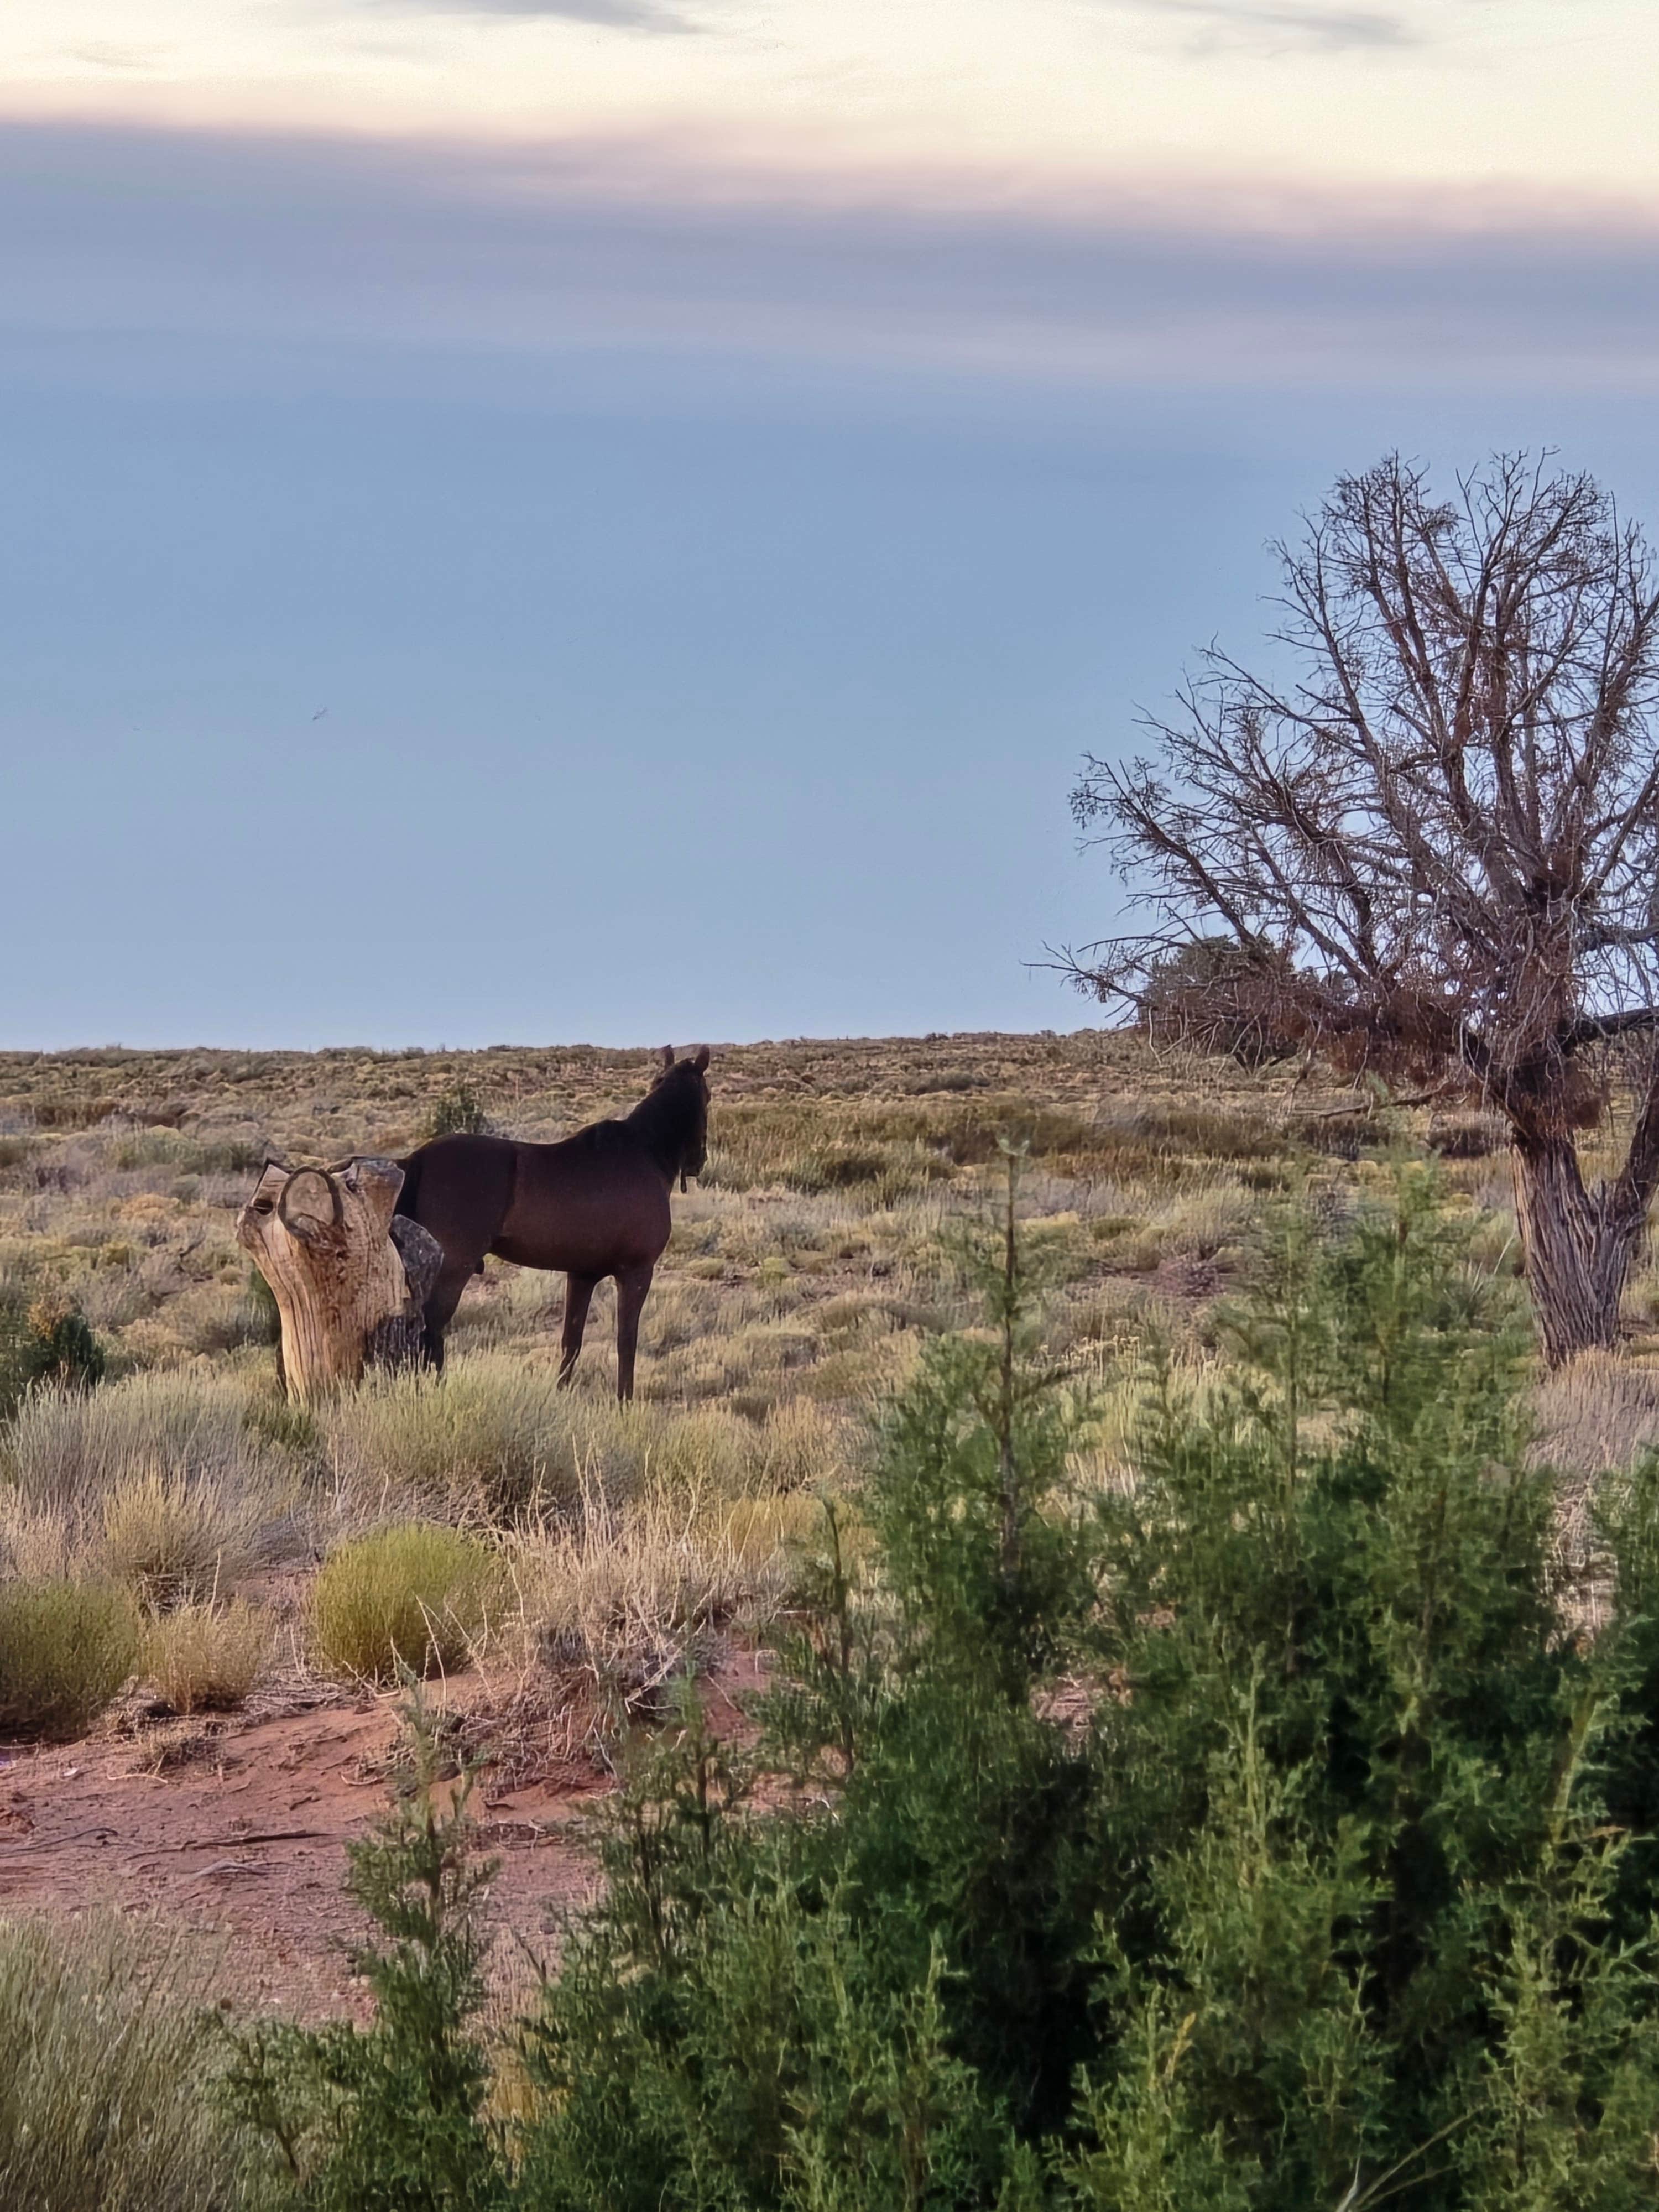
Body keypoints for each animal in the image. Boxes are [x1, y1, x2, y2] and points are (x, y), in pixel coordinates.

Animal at [394, 1046, 710, 1400]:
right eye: (707, 1096)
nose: (699, 1162)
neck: (645, 1152)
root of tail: (416, 1160)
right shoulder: (636, 1273)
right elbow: (626, 1342)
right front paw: (624, 1401)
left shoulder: (583, 1275)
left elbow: (571, 1340)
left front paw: (561, 1393)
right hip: (450, 1274)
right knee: (428, 1335)